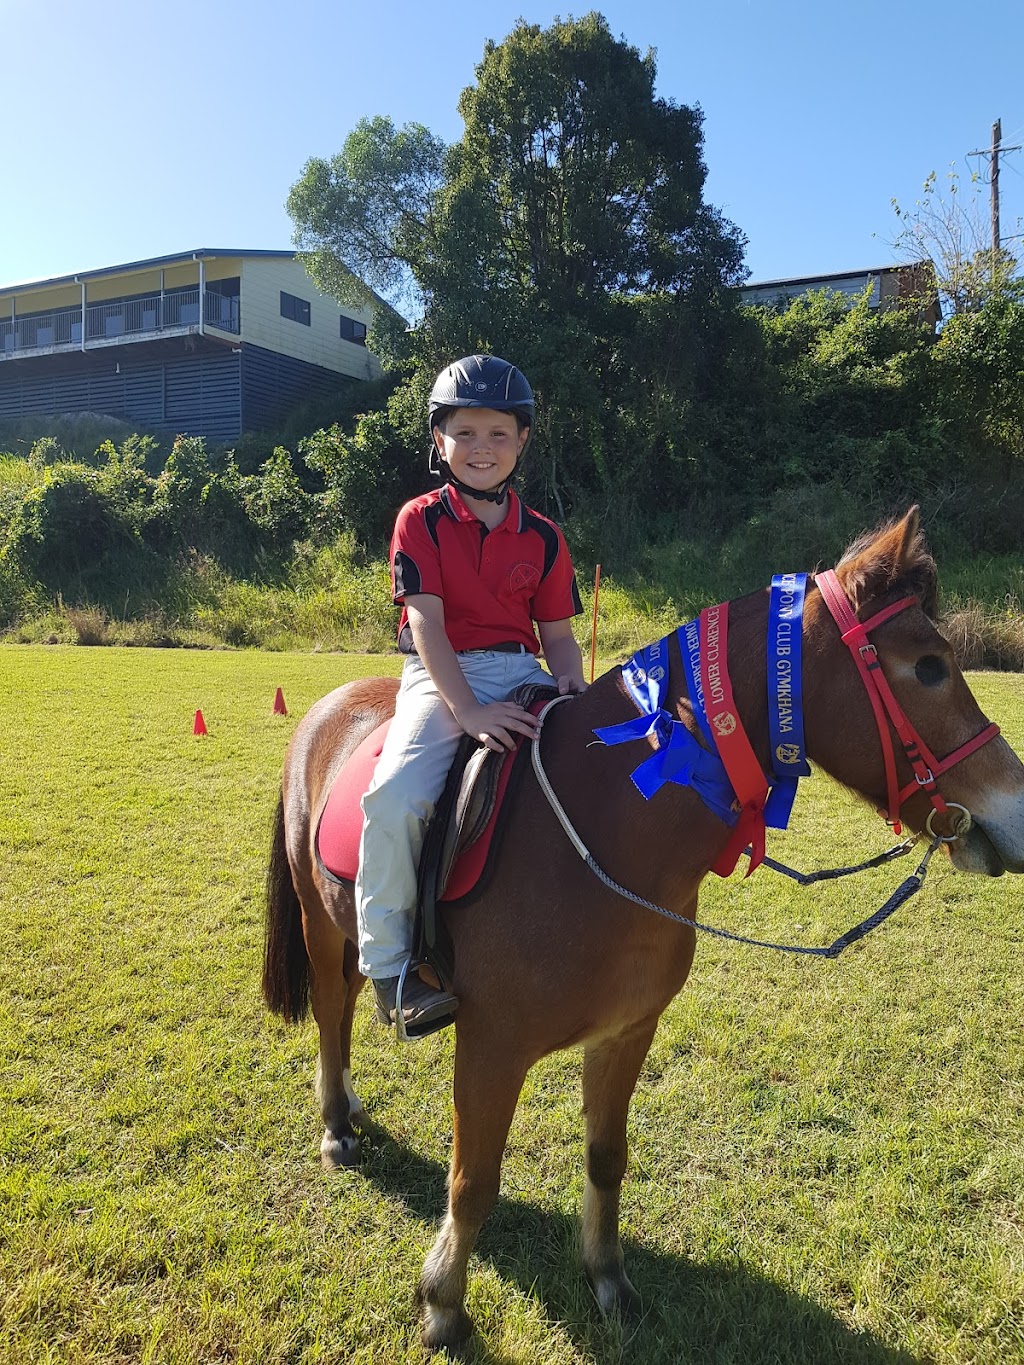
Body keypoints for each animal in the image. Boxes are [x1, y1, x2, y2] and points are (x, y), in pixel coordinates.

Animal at [260, 513, 1024, 1354]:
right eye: (928, 666)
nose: (1015, 811)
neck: (603, 831)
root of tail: (332, 704)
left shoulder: (627, 1030)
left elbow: (606, 1156)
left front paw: (608, 1282)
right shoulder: (491, 1044)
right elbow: (475, 1179)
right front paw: (444, 1304)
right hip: (318, 920)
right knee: (331, 1011)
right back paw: (336, 1122)